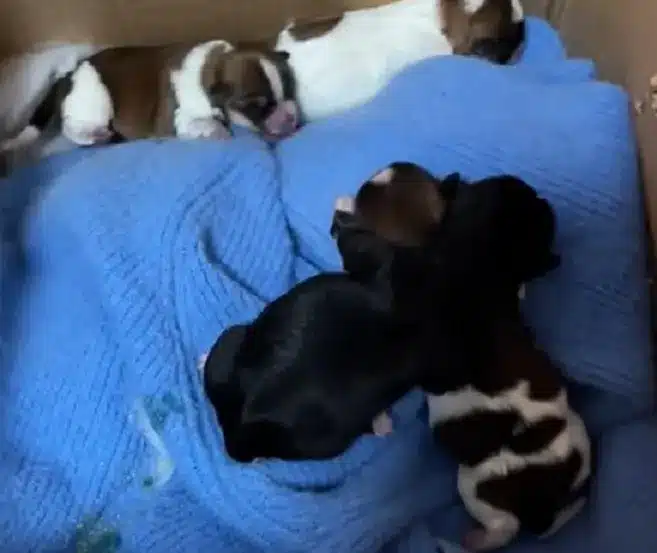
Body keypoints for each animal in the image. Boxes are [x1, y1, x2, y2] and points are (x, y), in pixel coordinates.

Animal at [16, 40, 298, 147]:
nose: (291, 117)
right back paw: (96, 135)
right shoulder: (177, 120)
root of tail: (68, 75)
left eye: (290, 90)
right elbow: (203, 124)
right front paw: (218, 131)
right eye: (257, 106)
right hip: (95, 100)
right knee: (71, 127)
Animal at [330, 165, 592, 552]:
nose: (543, 197)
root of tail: (543, 506)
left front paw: (345, 205)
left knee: (505, 526)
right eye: (488, 186)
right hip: (578, 437)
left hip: (475, 483)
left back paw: (474, 539)